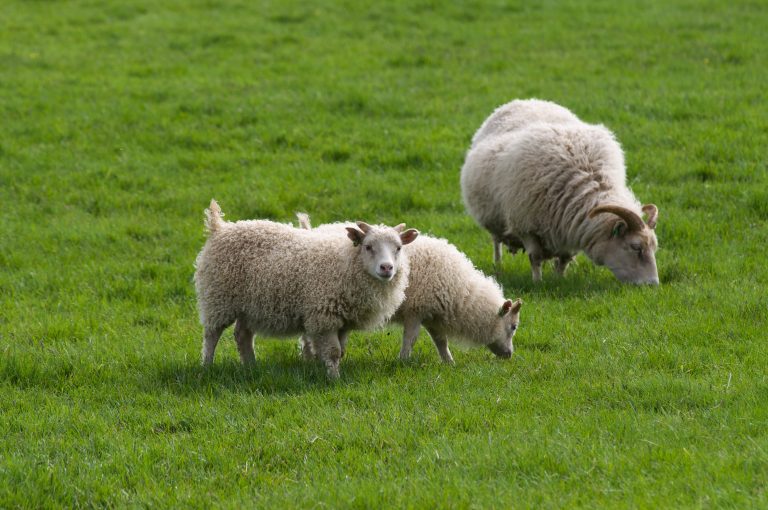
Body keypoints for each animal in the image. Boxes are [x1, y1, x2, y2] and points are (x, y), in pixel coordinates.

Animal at [192, 199, 420, 378]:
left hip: (250, 305)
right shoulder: (324, 316)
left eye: (398, 248)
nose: (386, 267)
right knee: (211, 335)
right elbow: (333, 351)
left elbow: (340, 351)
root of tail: (220, 228)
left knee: (242, 335)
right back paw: (207, 366)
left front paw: (327, 371)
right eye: (368, 247)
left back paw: (251, 367)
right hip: (218, 298)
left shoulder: (343, 320)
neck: (347, 262)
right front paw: (334, 379)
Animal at [294, 213, 520, 364]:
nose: (509, 355)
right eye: (513, 327)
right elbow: (410, 339)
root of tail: (310, 230)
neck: (461, 294)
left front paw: (449, 362)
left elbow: (441, 341)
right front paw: (403, 361)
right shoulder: (416, 311)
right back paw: (308, 358)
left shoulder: (431, 314)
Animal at [462, 97, 660, 284]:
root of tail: (528, 100)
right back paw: (498, 265)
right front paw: (538, 282)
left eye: (654, 248)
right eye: (635, 247)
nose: (652, 284)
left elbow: (564, 259)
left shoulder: (570, 229)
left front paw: (559, 279)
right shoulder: (525, 225)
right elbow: (535, 257)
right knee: (496, 242)